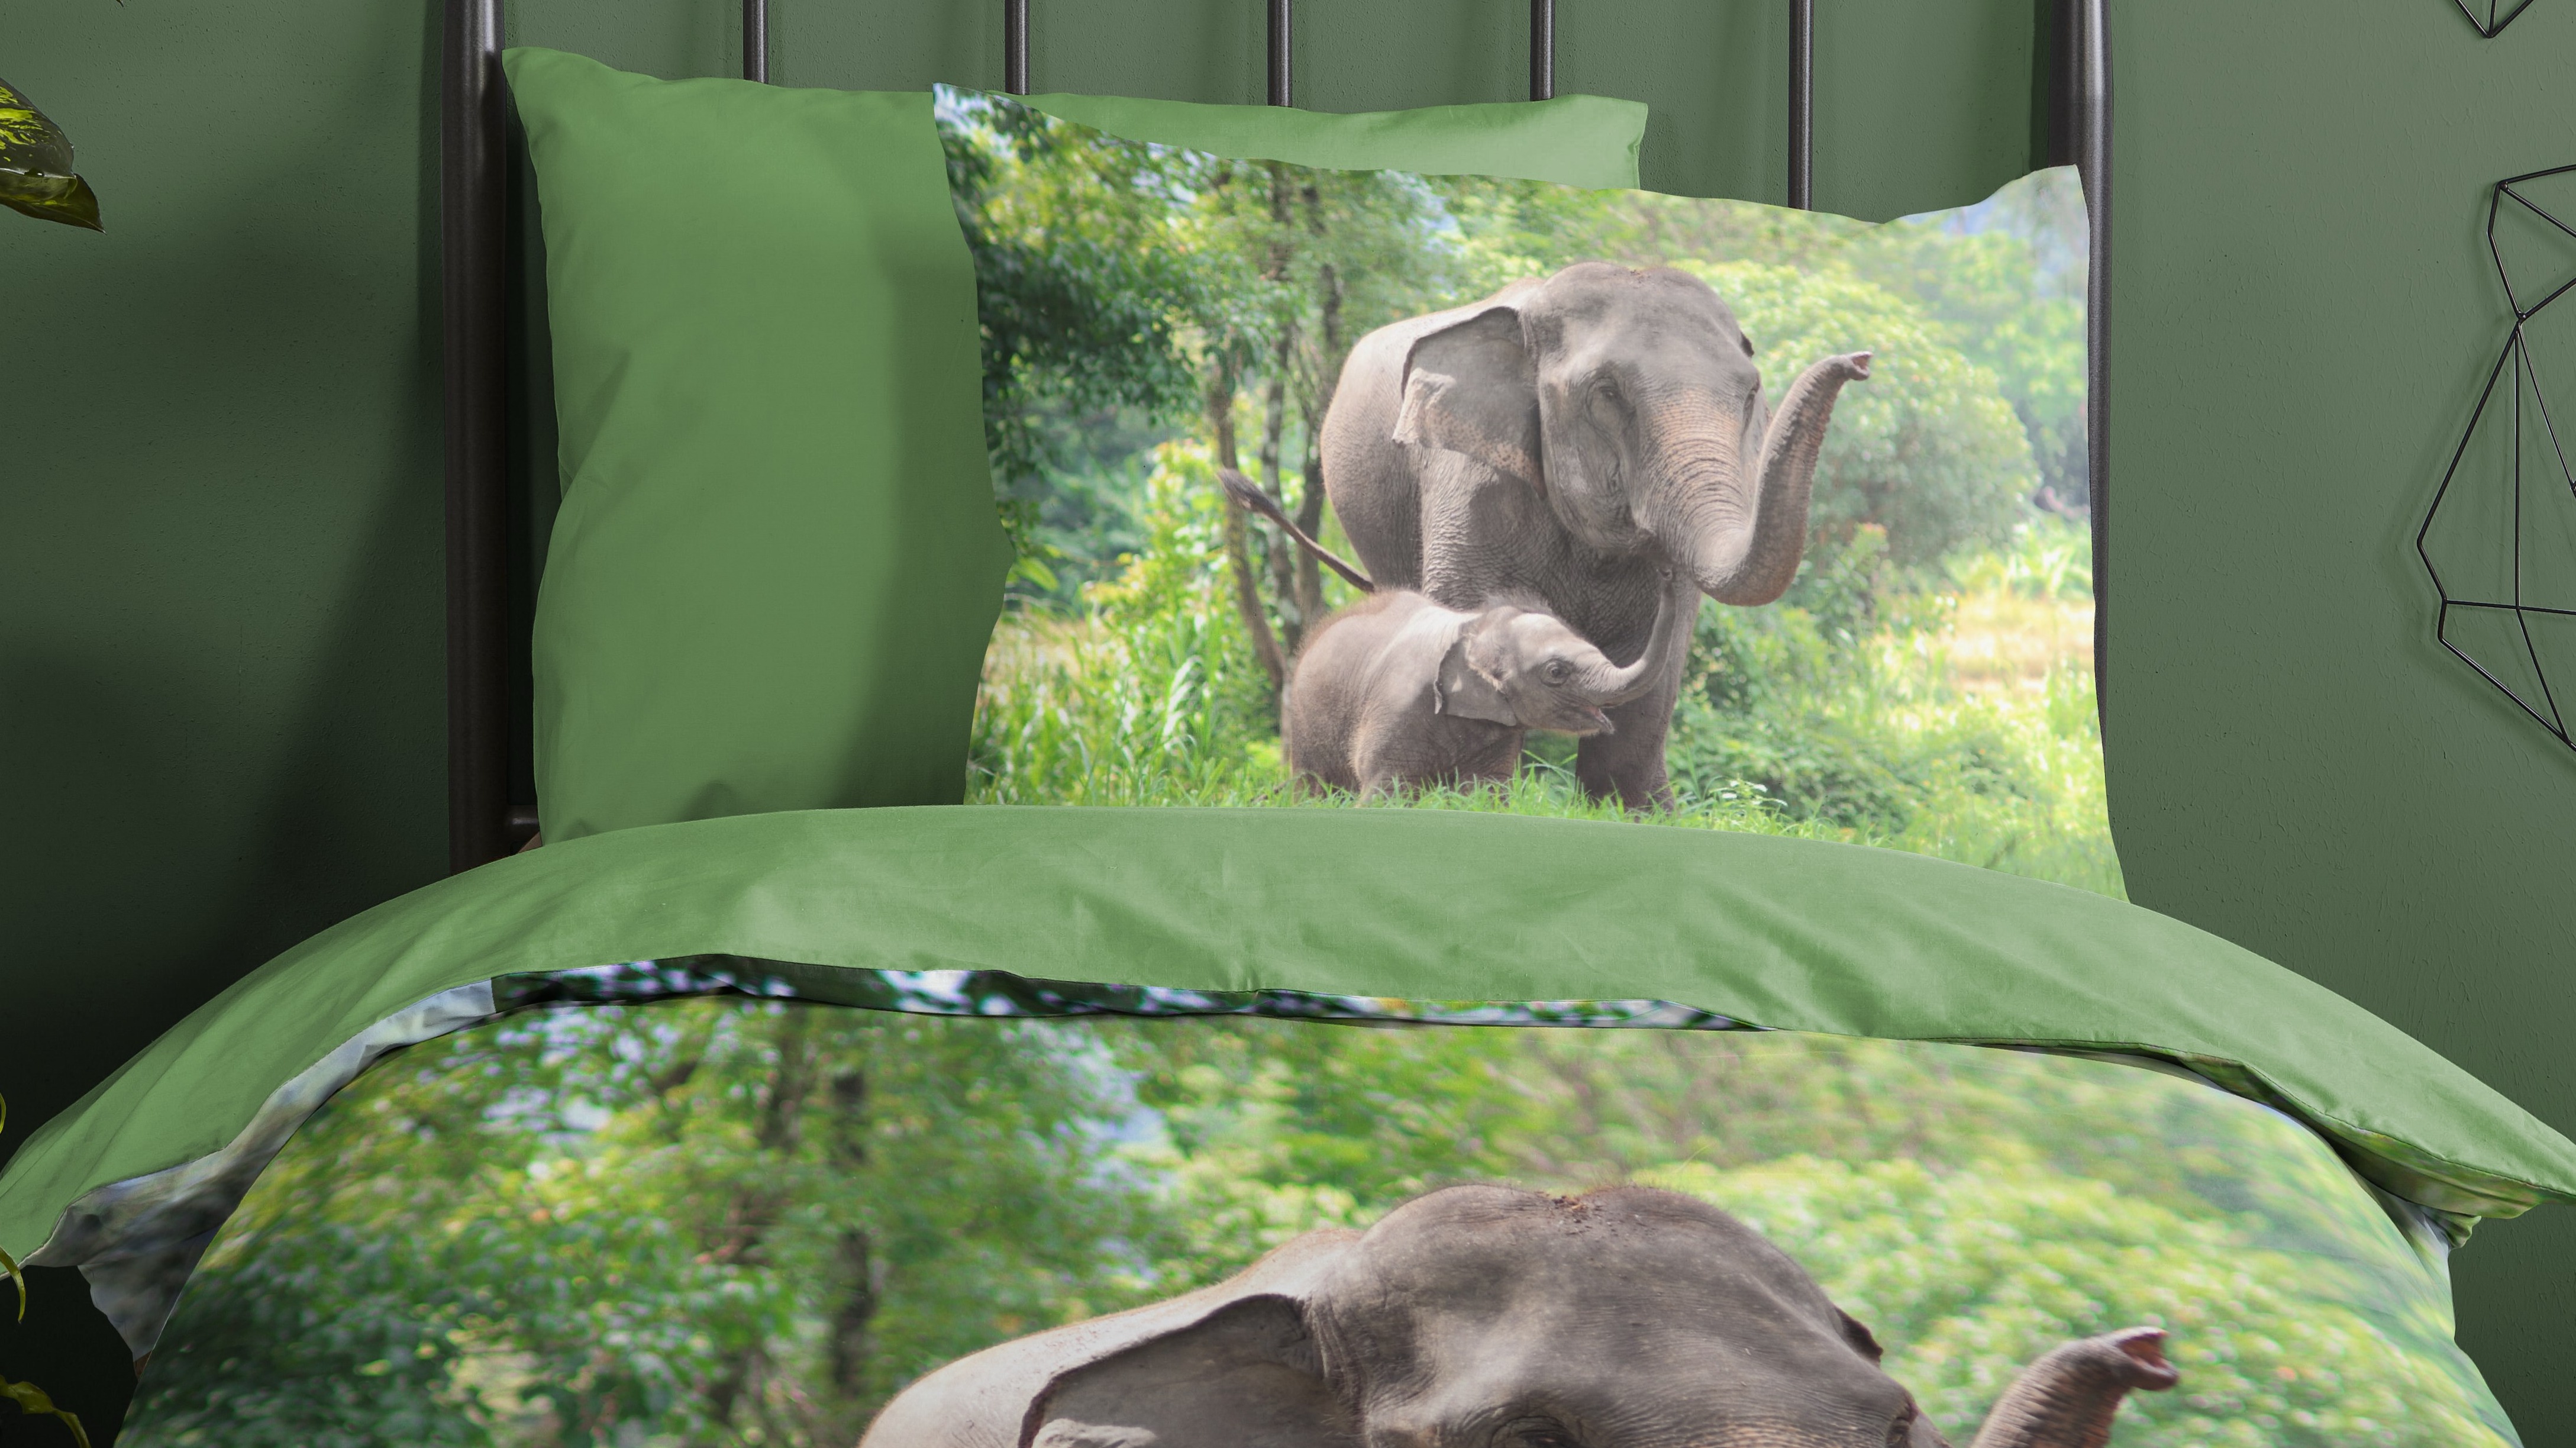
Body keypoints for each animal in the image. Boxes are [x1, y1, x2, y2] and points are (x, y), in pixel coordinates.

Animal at [1318, 262, 1872, 807]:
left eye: (1751, 393)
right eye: (1607, 393)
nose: (1861, 360)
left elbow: (1657, 666)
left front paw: (1635, 812)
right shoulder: (1471, 488)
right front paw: (1478, 799)